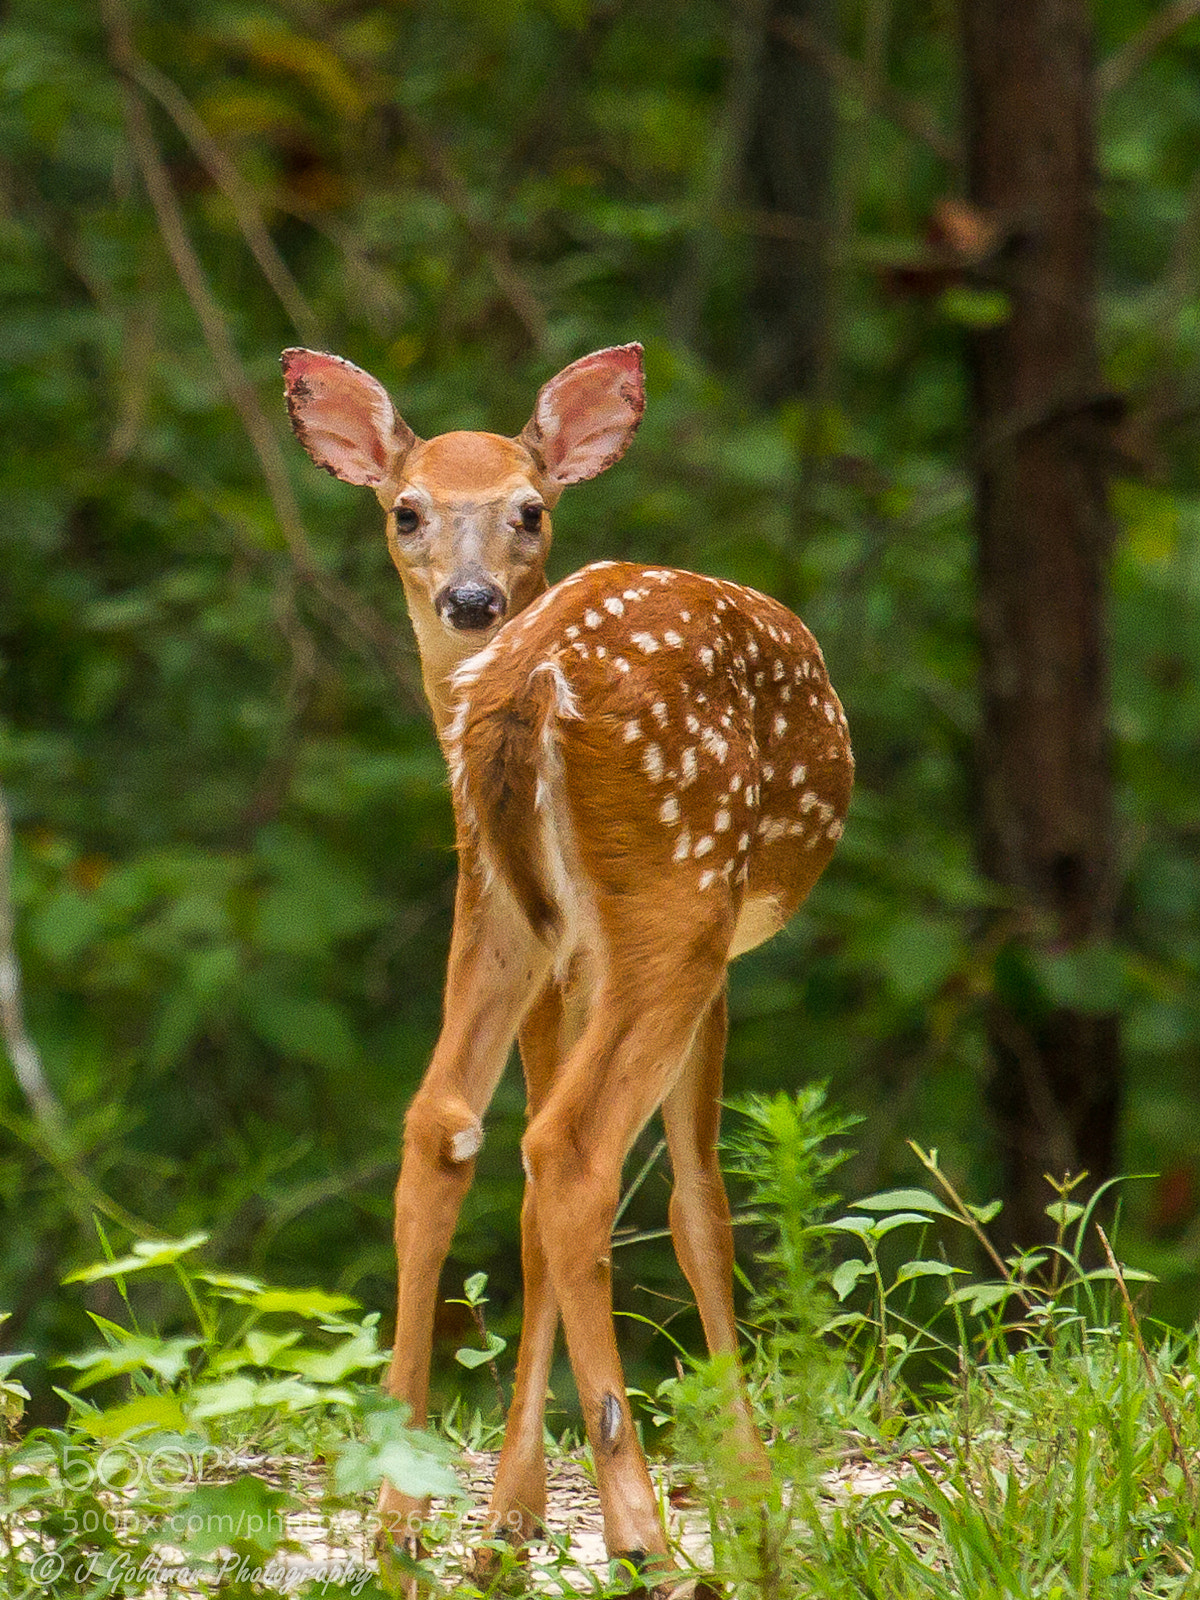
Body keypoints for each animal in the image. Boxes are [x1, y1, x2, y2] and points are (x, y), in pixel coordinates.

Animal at [281, 342, 853, 1590]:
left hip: (496, 906)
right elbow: (700, 1204)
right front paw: (748, 1495)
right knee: (572, 1150)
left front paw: (511, 1512)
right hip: (678, 894)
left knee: (444, 1124)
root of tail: (530, 679)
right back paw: (645, 1531)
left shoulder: (554, 957)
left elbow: (531, 1221)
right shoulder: (701, 959)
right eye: (405, 511)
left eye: (528, 508)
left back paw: (397, 1518)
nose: (470, 599)